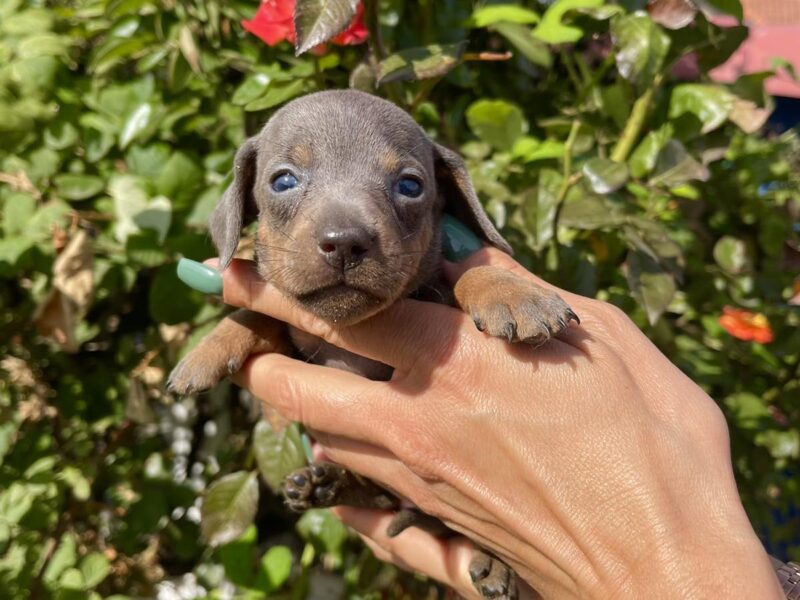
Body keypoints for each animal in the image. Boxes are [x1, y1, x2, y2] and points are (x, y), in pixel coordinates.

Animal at [170, 90, 580, 600]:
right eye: (283, 180)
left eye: (409, 186)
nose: (345, 242)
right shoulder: (297, 339)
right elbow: (263, 314)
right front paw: (205, 351)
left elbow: (467, 274)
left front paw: (515, 293)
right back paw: (323, 483)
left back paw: (497, 563)